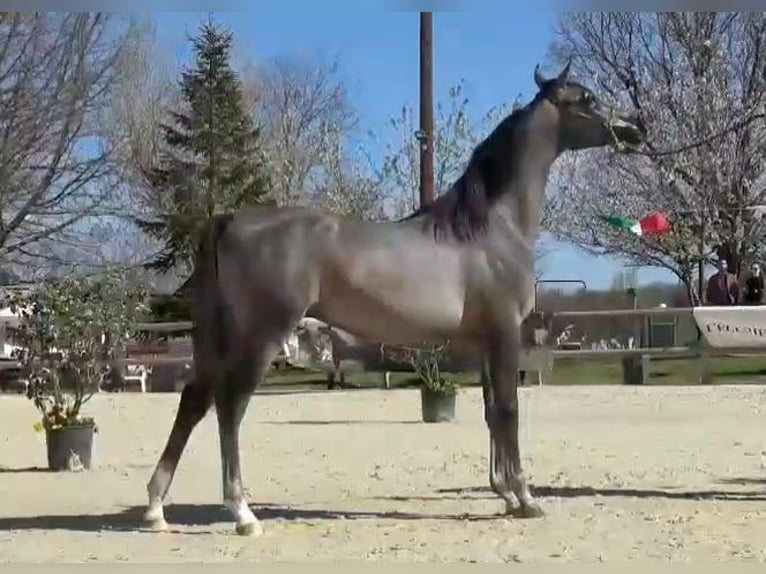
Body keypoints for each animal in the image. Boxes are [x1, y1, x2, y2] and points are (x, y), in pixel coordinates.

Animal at [141, 65, 644, 536]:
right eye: (587, 98)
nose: (636, 127)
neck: (490, 228)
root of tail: (227, 221)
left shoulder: (483, 341)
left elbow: (490, 412)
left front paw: (502, 492)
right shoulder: (504, 334)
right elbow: (509, 410)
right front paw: (524, 498)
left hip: (216, 338)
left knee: (193, 401)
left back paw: (155, 509)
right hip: (262, 335)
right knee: (230, 406)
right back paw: (242, 513)